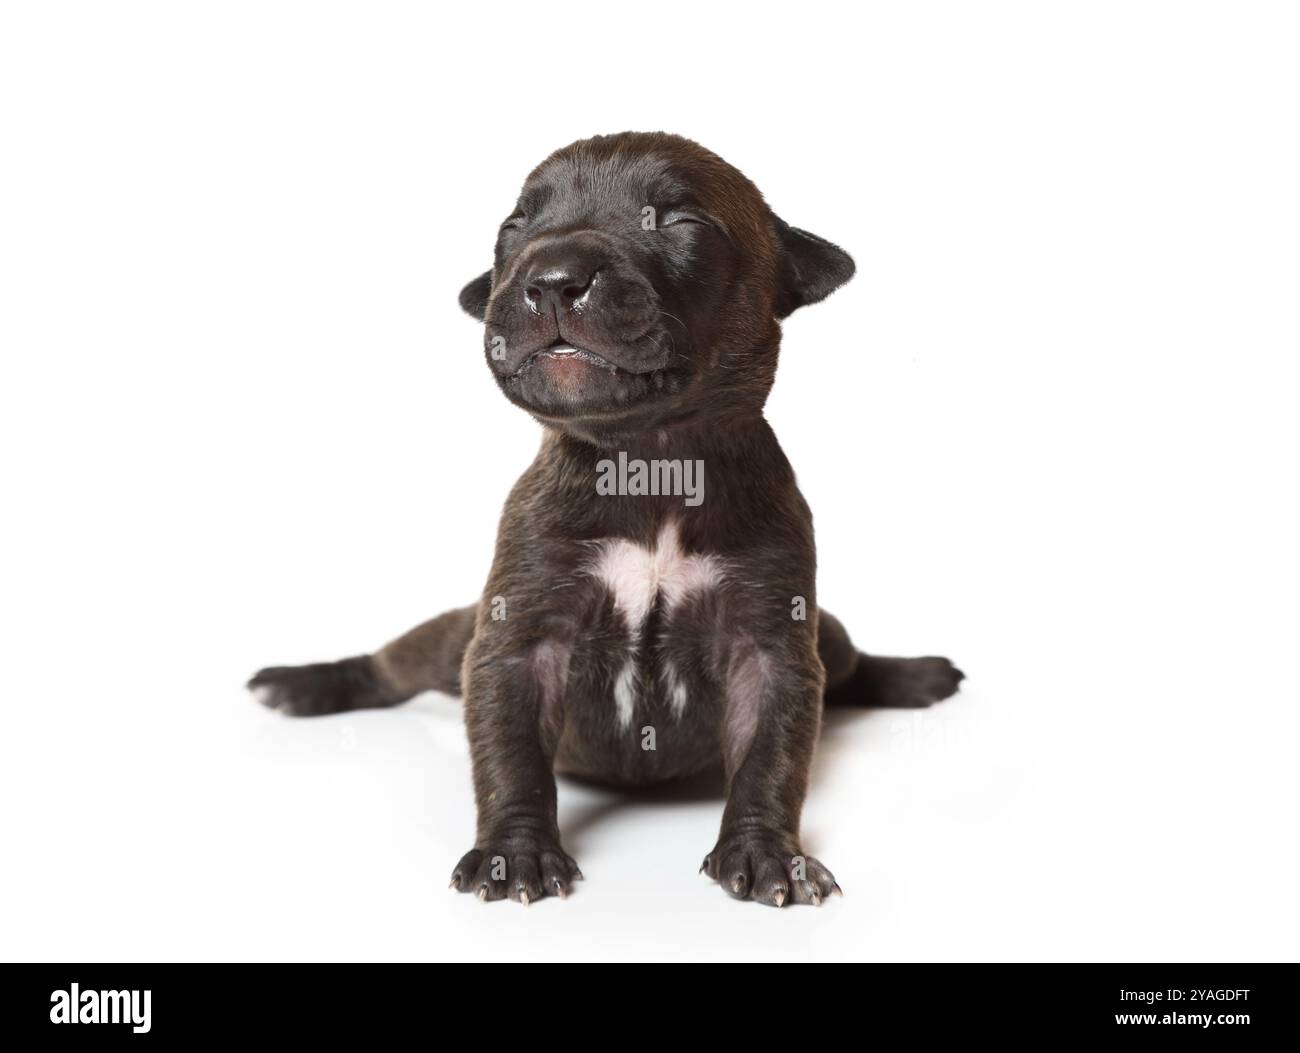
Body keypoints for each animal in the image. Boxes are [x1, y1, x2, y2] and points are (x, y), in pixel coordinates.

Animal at [250, 131, 967, 904]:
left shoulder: (771, 641)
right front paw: (514, 854)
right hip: (450, 637)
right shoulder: (516, 638)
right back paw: (304, 683)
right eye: (514, 227)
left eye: (680, 221)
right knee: (394, 663)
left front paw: (768, 853)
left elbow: (772, 756)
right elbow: (510, 754)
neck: (648, 459)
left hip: (826, 633)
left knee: (851, 664)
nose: (552, 277)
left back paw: (915, 676)